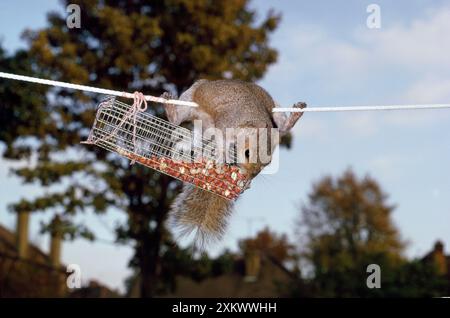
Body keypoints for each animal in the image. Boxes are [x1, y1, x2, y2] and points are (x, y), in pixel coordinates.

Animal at [162, 79, 306, 246]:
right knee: (178, 118)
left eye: (268, 163)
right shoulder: (225, 123)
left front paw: (246, 182)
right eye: (247, 153)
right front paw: (222, 157)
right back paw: (171, 110)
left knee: (282, 127)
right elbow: (221, 140)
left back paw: (293, 117)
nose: (249, 175)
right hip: (190, 99)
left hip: (275, 110)